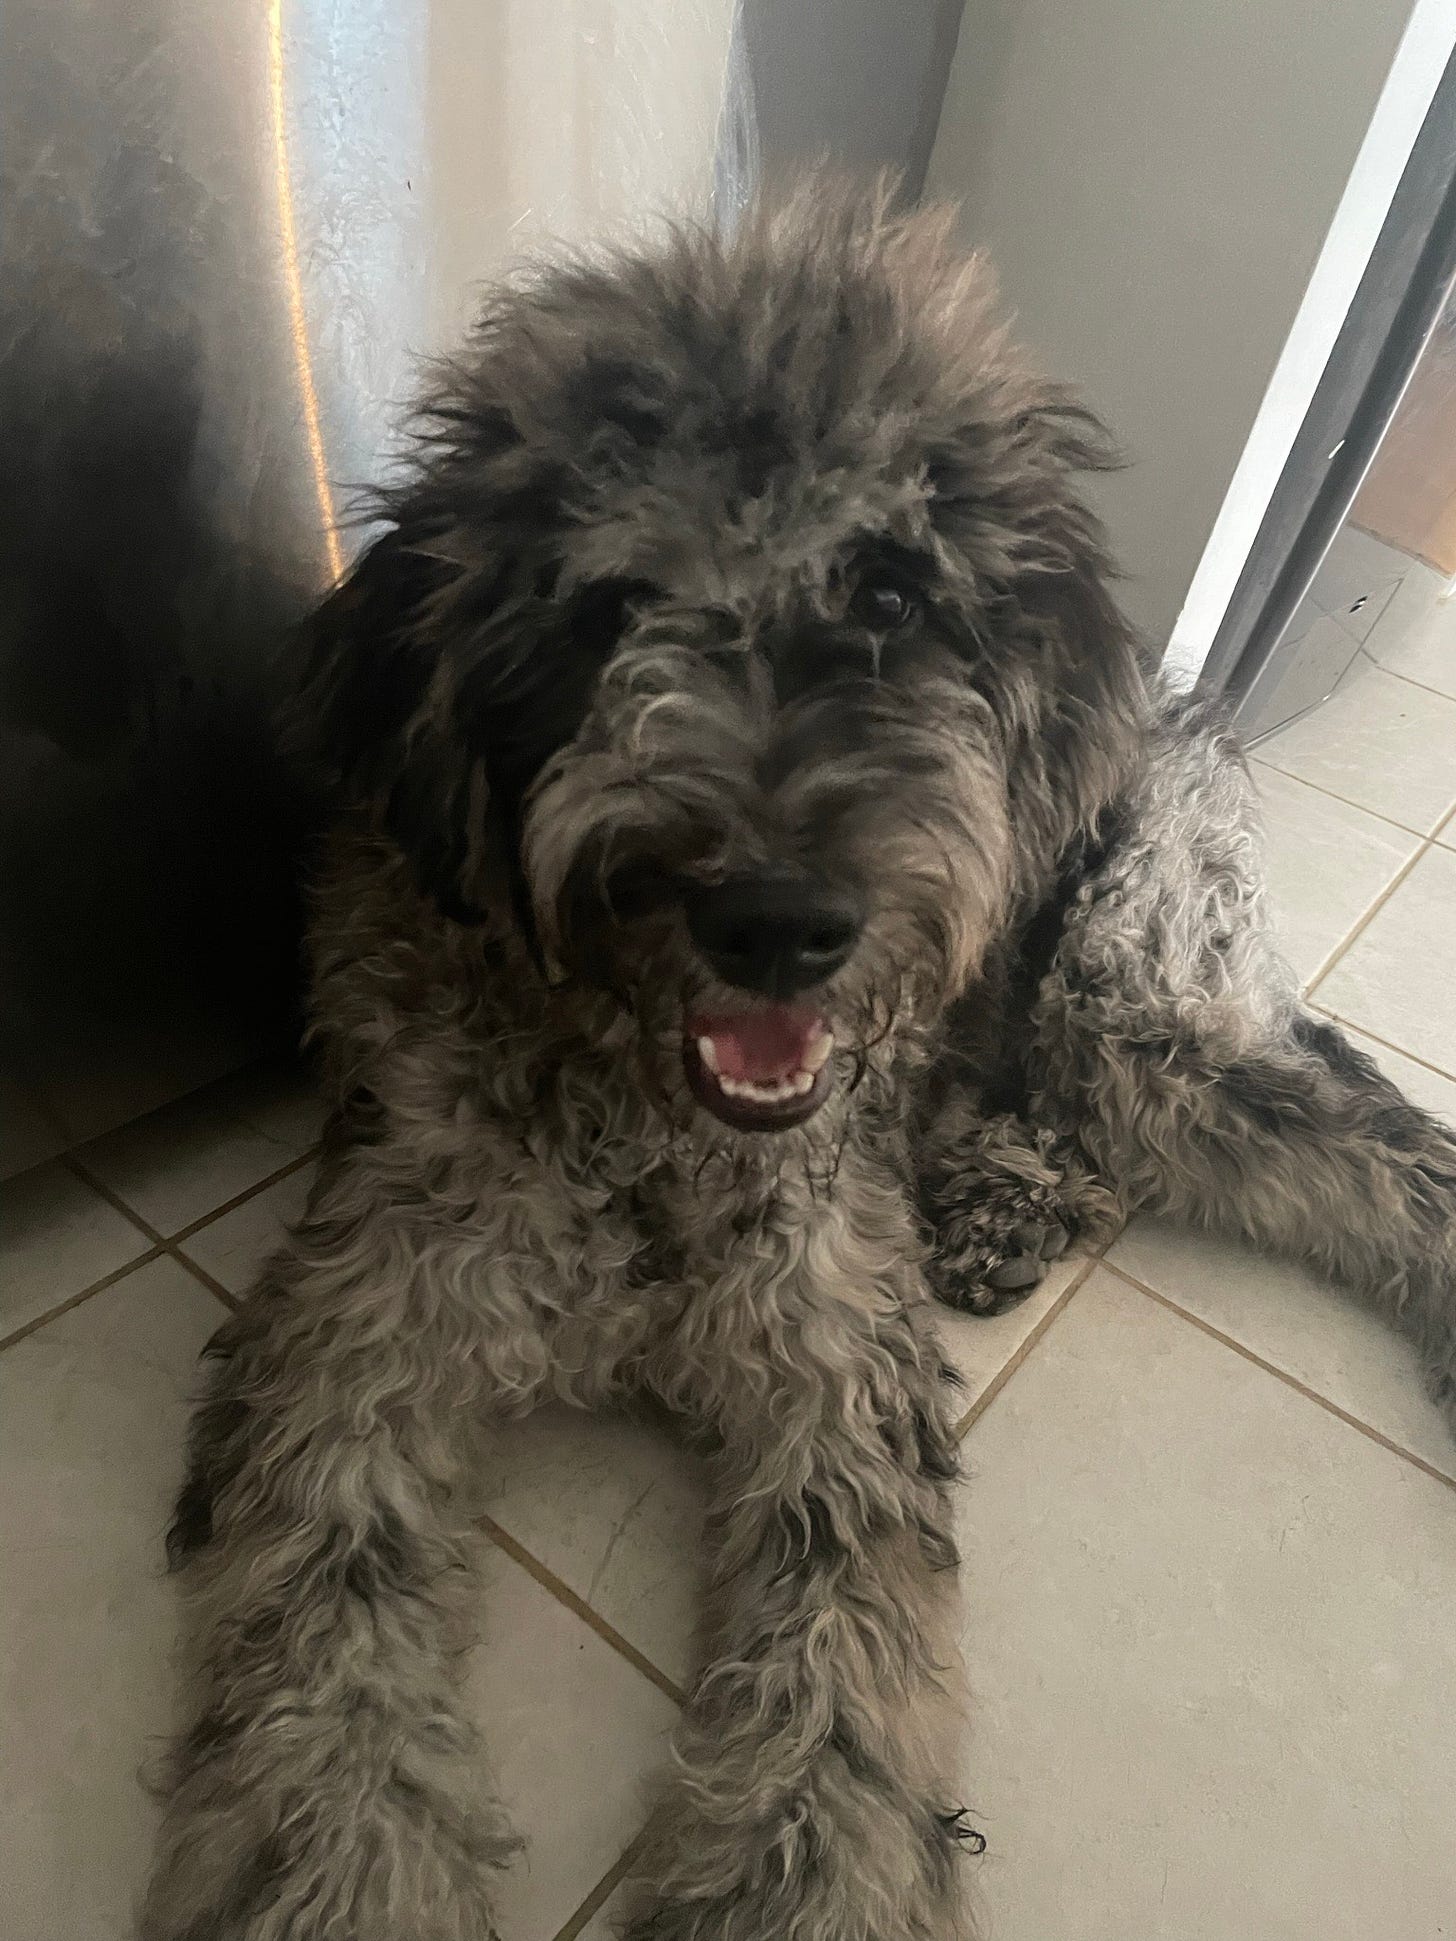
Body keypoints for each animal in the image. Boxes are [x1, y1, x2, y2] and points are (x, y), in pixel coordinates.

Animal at [142, 185, 1456, 1941]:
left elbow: (839, 1693)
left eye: (893, 597)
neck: (642, 1135)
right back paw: (1001, 1196)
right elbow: (313, 1696)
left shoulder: (833, 1359)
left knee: (1374, 1152)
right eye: (609, 605)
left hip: (1131, 1008)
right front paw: (354, 1877)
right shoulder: (351, 1342)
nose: (779, 920)